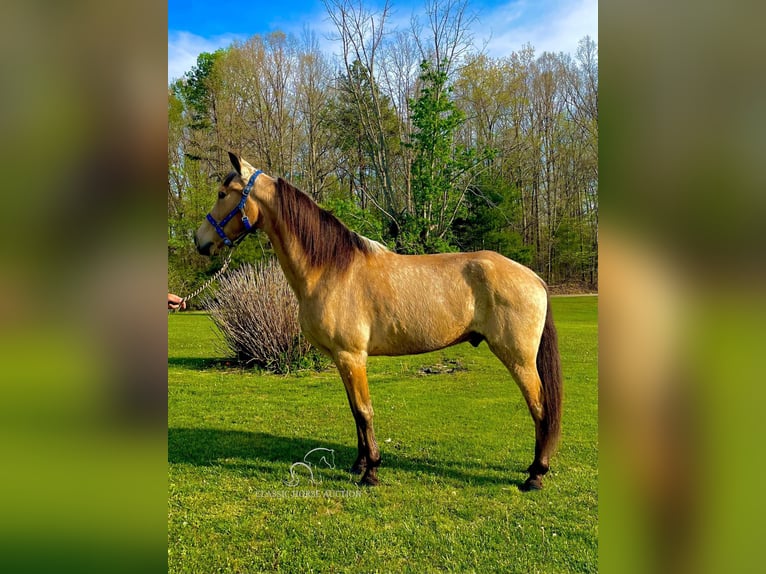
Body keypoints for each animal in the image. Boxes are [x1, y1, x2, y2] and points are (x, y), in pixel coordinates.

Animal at [194, 153, 564, 490]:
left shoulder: (351, 356)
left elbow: (363, 410)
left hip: (519, 359)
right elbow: (354, 412)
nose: (200, 241)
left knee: (540, 409)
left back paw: (535, 475)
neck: (330, 269)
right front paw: (358, 464)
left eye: (223, 193)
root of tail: (533, 277)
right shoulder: (342, 359)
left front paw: (370, 471)